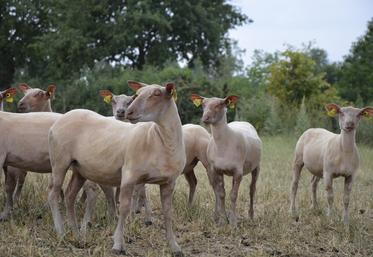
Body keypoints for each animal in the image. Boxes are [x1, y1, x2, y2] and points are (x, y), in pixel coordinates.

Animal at [48, 81, 185, 255]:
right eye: (136, 94)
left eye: (156, 94)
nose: (128, 112)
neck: (159, 140)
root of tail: (59, 120)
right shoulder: (129, 175)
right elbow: (124, 208)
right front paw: (118, 244)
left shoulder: (169, 182)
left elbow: (167, 213)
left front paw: (174, 246)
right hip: (59, 162)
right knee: (53, 195)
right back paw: (61, 231)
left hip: (79, 169)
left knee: (69, 196)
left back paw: (77, 234)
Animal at [187, 93, 260, 225]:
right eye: (203, 104)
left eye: (220, 104)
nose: (205, 118)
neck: (223, 146)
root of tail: (241, 121)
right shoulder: (217, 169)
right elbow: (221, 194)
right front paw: (222, 220)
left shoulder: (238, 171)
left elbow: (233, 195)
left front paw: (233, 222)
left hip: (256, 166)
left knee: (252, 189)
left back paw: (251, 215)